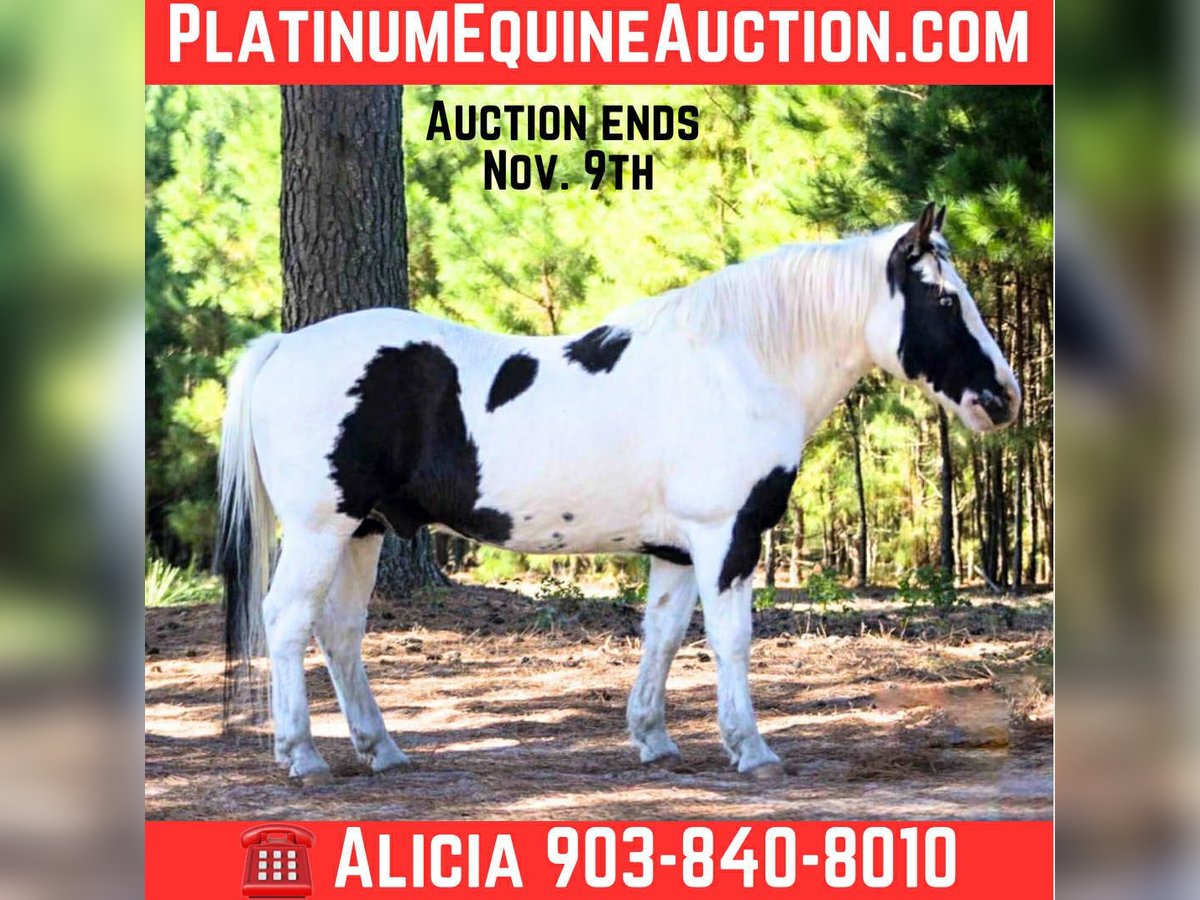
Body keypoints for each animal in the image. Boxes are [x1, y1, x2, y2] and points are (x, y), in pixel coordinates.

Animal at [217, 203, 1020, 783]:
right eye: (943, 299)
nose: (1004, 398)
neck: (742, 362)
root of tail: (283, 346)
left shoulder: (677, 548)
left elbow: (662, 636)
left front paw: (654, 740)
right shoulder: (728, 536)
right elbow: (731, 639)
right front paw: (752, 749)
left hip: (364, 532)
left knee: (339, 632)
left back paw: (380, 750)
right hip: (321, 530)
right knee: (287, 623)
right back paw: (303, 757)